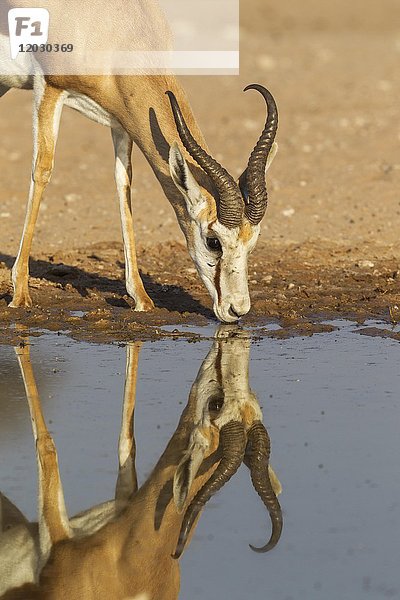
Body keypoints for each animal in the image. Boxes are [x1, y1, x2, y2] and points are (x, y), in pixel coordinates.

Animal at [0, 0, 278, 324]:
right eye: (213, 241)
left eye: (253, 241)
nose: (237, 310)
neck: (116, 23)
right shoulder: (50, 89)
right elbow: (43, 169)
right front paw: (20, 294)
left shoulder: (122, 119)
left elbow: (124, 184)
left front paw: (141, 298)